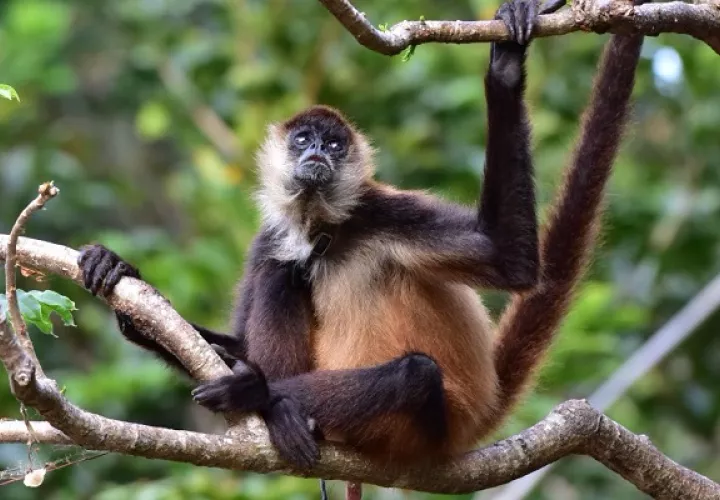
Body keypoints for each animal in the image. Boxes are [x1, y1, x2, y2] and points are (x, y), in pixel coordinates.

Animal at [77, 0, 645, 470]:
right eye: (304, 139)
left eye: (334, 144)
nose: (316, 154)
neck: (324, 226)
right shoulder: (269, 234)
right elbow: (241, 326)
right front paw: (124, 281)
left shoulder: (382, 210)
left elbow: (508, 258)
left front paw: (505, 67)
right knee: (284, 270)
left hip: (425, 427)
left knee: (415, 374)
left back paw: (260, 395)